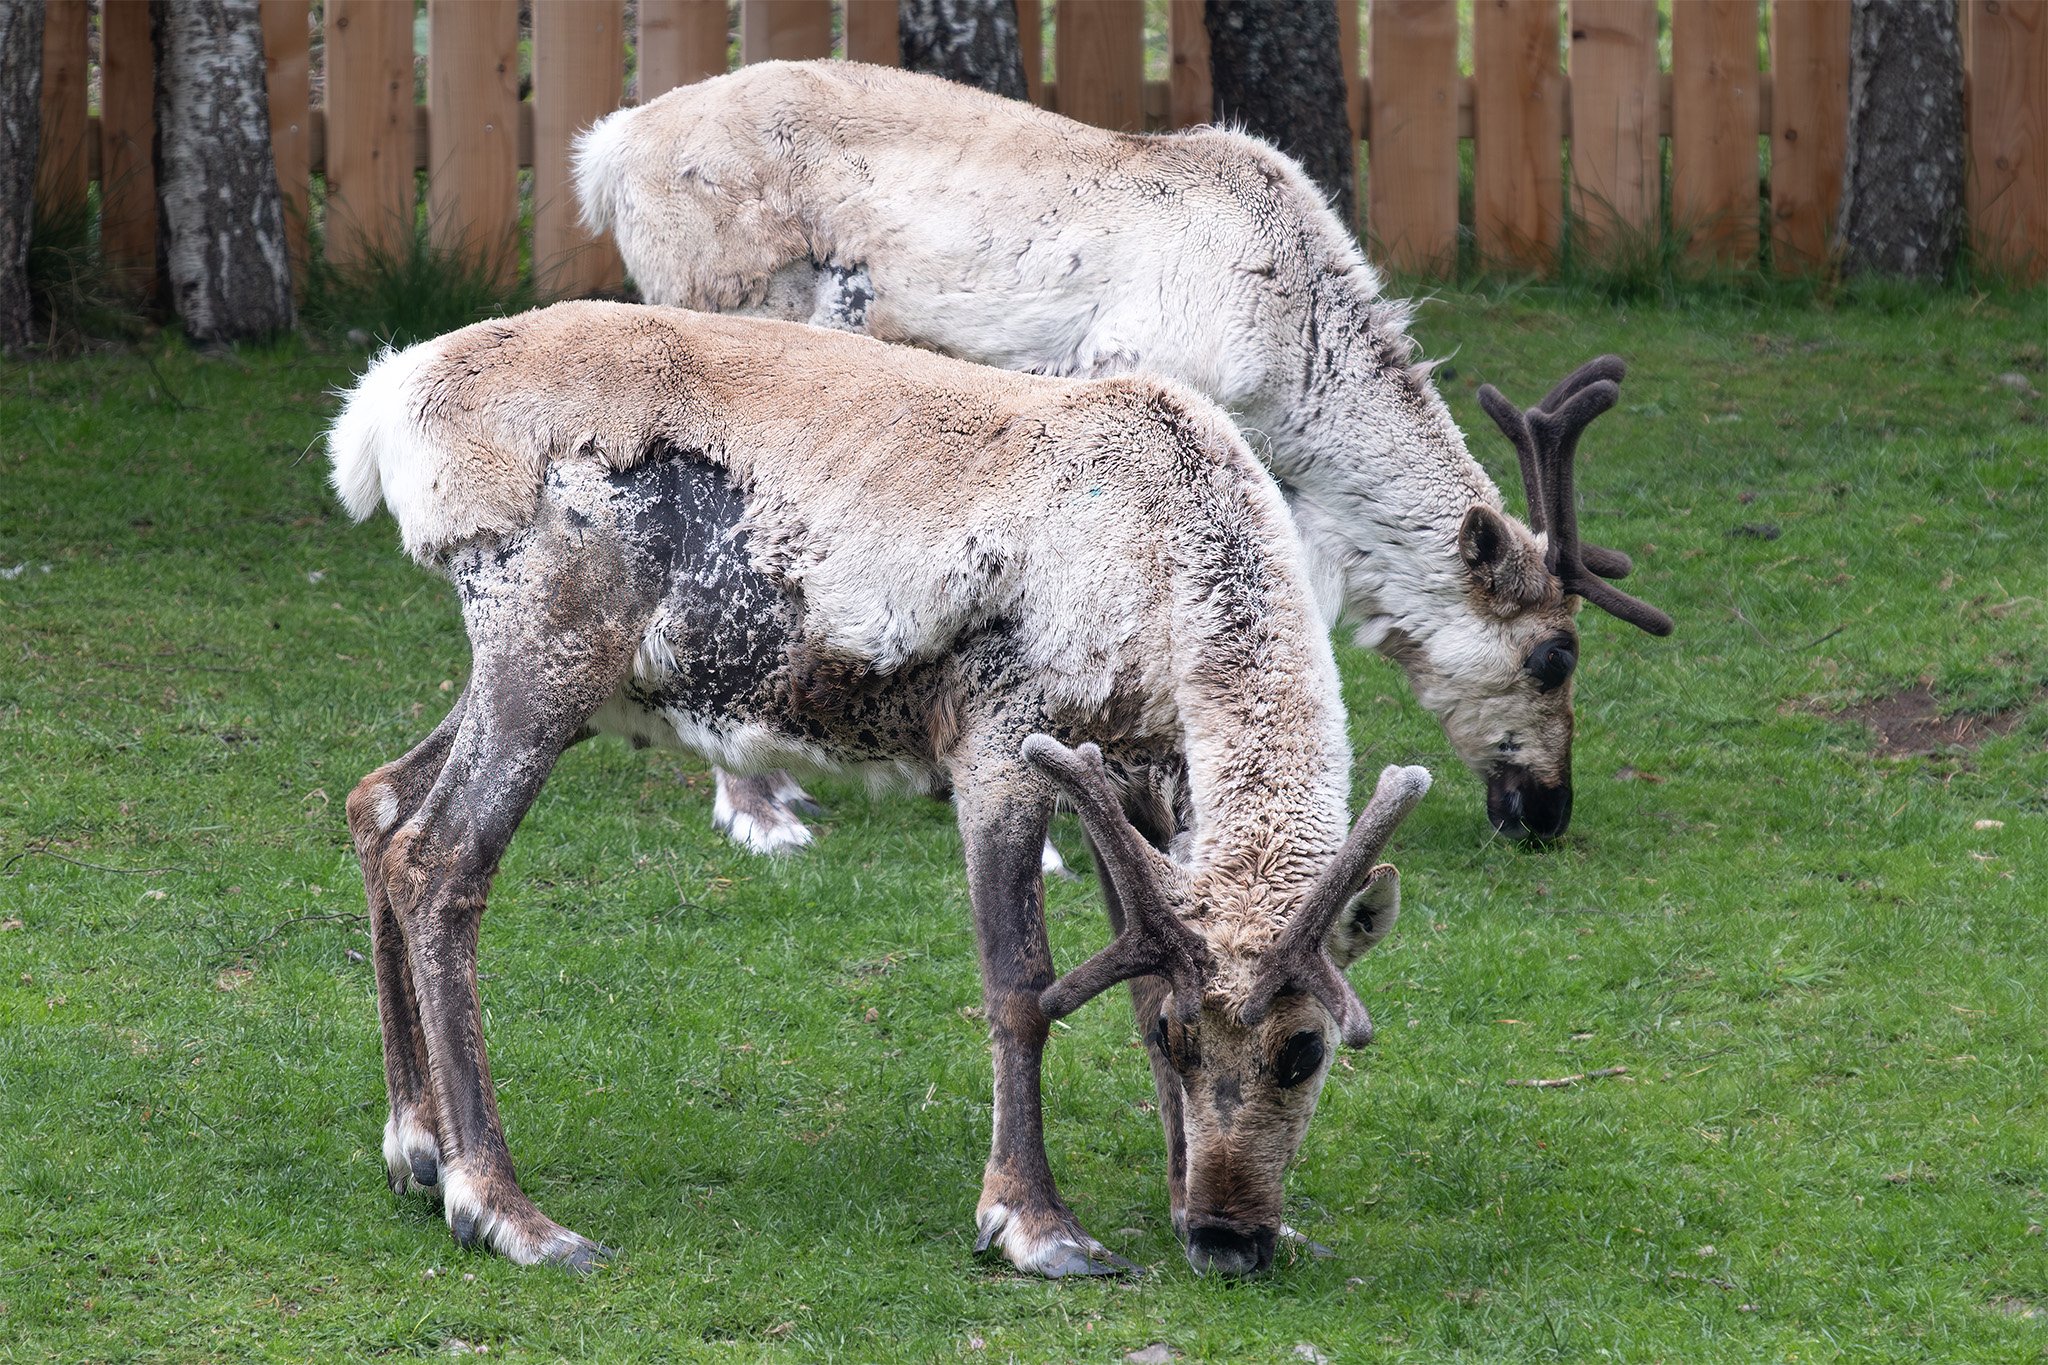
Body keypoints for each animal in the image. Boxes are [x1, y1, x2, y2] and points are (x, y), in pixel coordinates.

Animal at [329, 300, 1435, 1277]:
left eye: (1306, 1049)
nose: (1226, 1238)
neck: (1175, 573)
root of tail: (383, 405)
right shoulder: (1001, 742)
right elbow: (1021, 987)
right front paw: (1034, 1224)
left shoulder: (1138, 785)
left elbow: (1137, 971)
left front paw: (1189, 1204)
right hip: (546, 649)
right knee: (440, 859)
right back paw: (503, 1208)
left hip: (571, 684)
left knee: (378, 801)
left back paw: (415, 1146)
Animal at [573, 59, 1674, 855]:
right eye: (1553, 655)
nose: (1546, 812)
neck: (1293, 354)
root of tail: (607, 147)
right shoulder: (1139, 380)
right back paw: (757, 809)